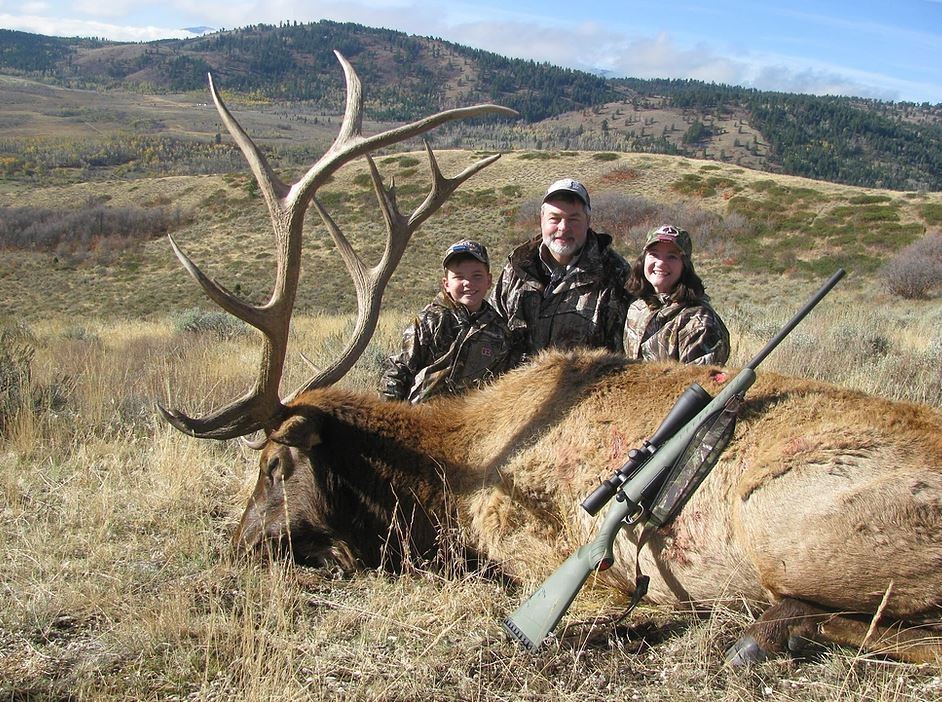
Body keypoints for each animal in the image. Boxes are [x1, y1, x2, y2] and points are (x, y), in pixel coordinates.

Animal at [159, 52, 942, 666]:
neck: (452, 472)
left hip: (781, 523)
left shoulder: (542, 550)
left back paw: (756, 633)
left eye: (272, 465)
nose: (234, 547)